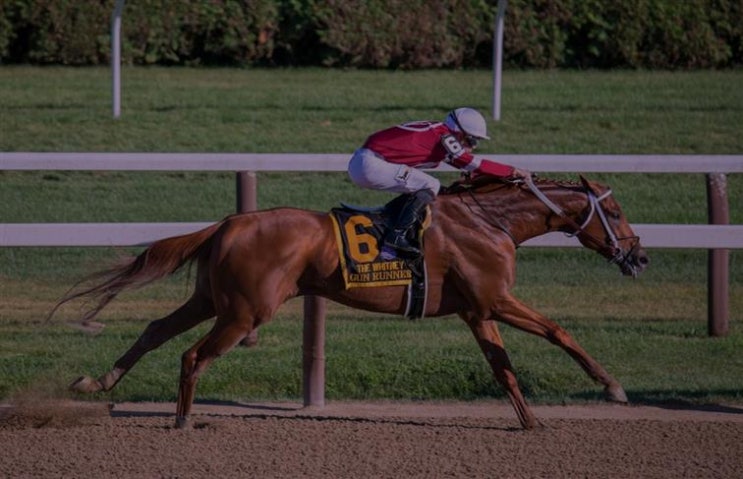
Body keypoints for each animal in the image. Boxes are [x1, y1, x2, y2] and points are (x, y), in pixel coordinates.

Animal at [52, 174, 648, 430]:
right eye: (616, 213)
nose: (639, 256)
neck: (490, 221)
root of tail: (228, 223)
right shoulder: (495, 301)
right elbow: (559, 331)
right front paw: (613, 387)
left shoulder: (478, 311)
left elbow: (503, 370)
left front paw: (531, 423)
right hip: (245, 311)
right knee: (193, 355)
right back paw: (181, 422)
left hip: (212, 300)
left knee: (156, 329)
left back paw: (96, 382)